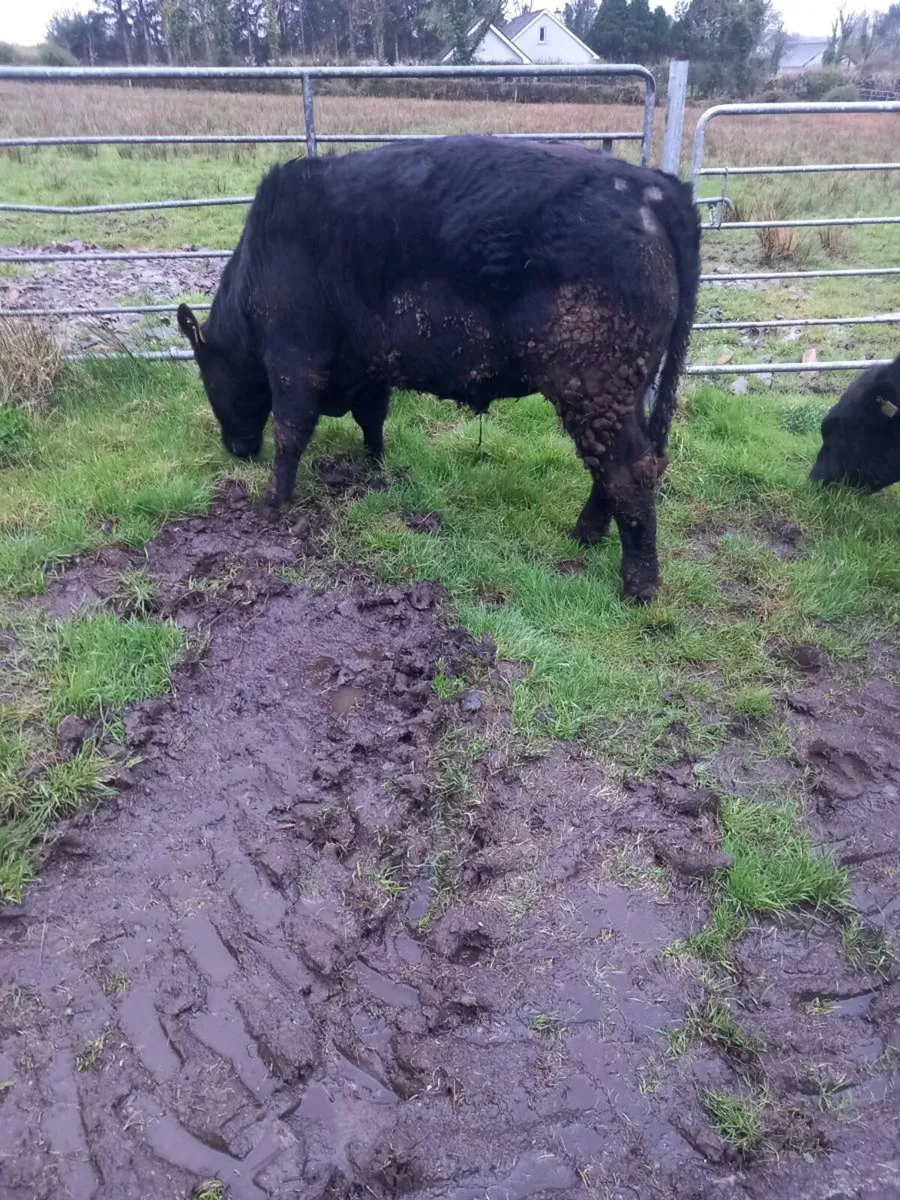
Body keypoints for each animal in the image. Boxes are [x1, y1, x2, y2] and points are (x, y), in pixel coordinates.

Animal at [177, 135, 701, 602]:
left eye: (207, 377)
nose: (238, 449)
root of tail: (653, 185)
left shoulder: (294, 355)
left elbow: (290, 430)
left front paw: (273, 503)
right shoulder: (371, 363)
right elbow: (373, 418)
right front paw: (375, 467)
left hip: (593, 381)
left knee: (628, 470)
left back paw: (638, 585)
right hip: (623, 388)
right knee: (620, 462)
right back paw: (586, 533)